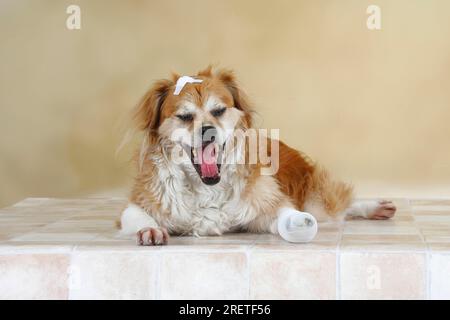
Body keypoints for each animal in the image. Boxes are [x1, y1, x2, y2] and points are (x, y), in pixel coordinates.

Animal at [118, 65, 396, 245]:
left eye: (219, 111)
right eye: (185, 116)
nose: (208, 131)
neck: (206, 186)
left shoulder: (266, 204)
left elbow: (287, 213)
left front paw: (297, 223)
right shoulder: (140, 202)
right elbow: (137, 217)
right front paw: (150, 230)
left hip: (318, 203)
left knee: (337, 205)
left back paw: (374, 207)